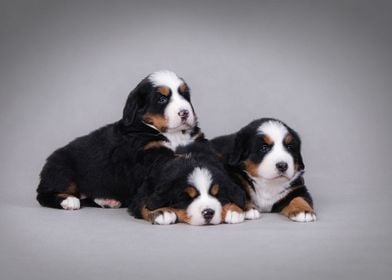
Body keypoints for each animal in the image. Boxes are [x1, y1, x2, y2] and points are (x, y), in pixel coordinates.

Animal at [36, 70, 202, 210]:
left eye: (184, 95)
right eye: (162, 99)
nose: (185, 112)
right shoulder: (148, 155)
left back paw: (107, 201)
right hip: (62, 169)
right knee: (44, 195)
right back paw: (68, 201)